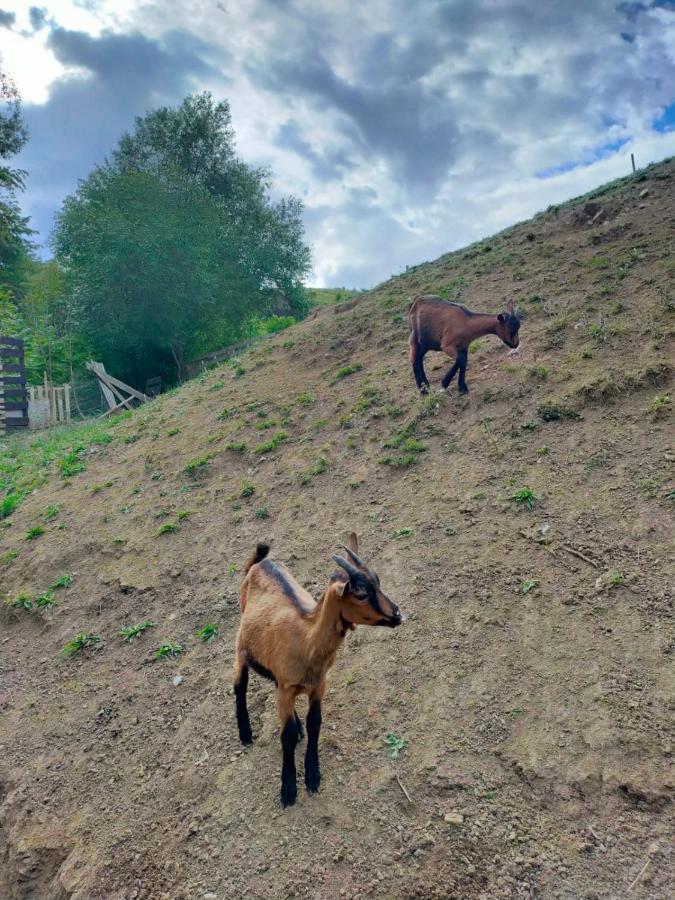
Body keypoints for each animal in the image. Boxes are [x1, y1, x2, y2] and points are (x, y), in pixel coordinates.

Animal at [234, 536, 402, 808]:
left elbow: (315, 723)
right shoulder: (287, 688)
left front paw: (313, 775)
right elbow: (287, 735)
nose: (397, 614)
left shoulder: (318, 684)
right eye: (361, 594)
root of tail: (260, 562)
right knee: (239, 684)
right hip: (241, 646)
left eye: (378, 580)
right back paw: (246, 733)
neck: (306, 639)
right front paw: (288, 789)